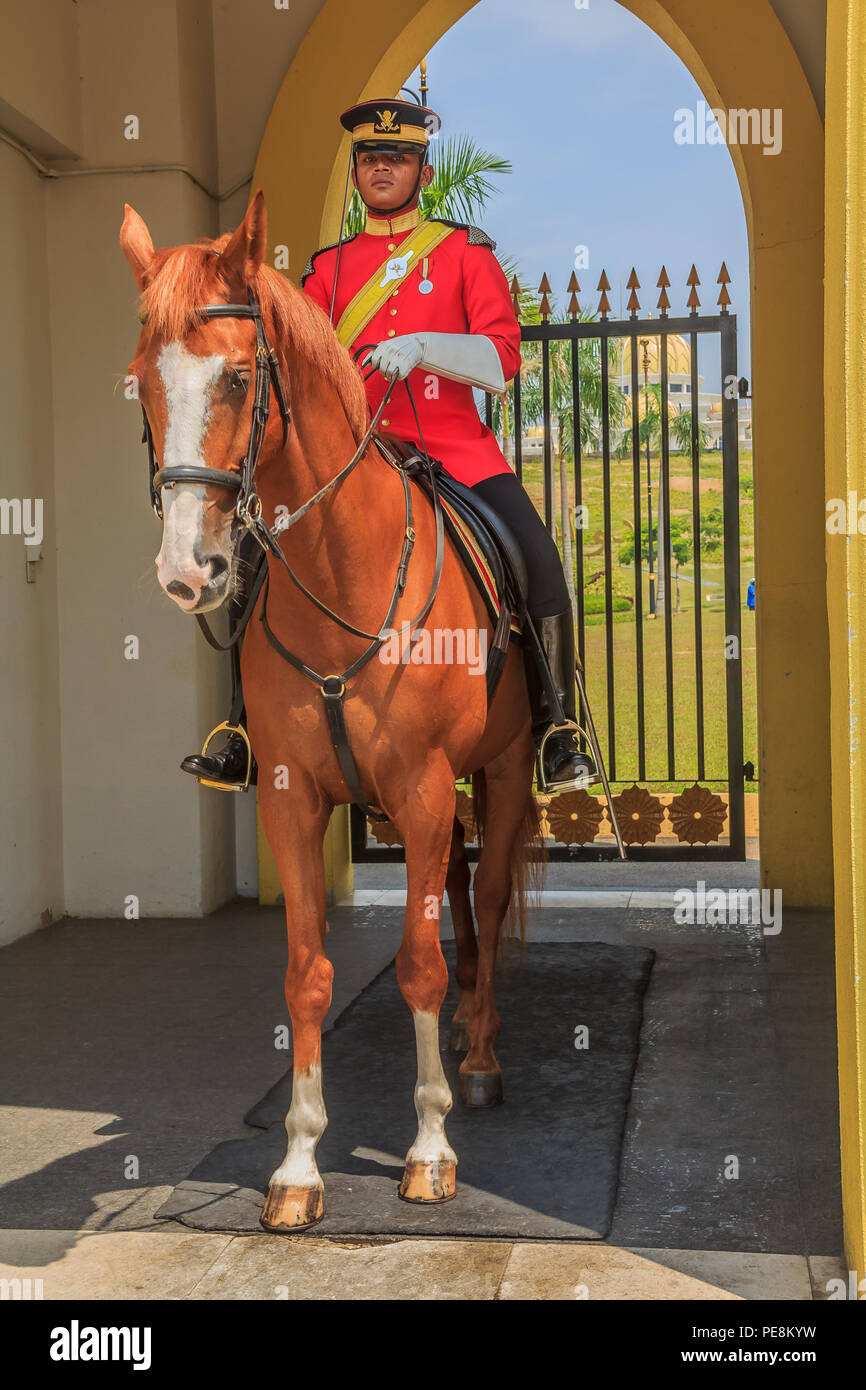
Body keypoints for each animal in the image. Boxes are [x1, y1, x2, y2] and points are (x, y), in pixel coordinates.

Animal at [122, 190, 542, 1234]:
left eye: (238, 378)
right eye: (142, 384)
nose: (190, 571)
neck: (340, 574)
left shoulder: (424, 788)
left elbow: (419, 964)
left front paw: (429, 1149)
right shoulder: (290, 793)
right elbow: (307, 972)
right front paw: (300, 1163)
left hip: (506, 766)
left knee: (492, 888)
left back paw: (480, 1053)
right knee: (464, 885)